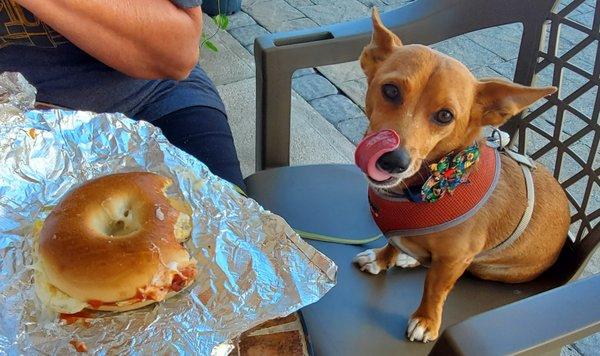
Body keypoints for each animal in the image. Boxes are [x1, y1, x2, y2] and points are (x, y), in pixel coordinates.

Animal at [354, 8, 568, 342]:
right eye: (390, 90)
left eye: (445, 116)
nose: (393, 160)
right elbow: (392, 243)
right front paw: (382, 259)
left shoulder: (456, 258)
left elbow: (435, 288)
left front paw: (426, 320)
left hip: (488, 268)